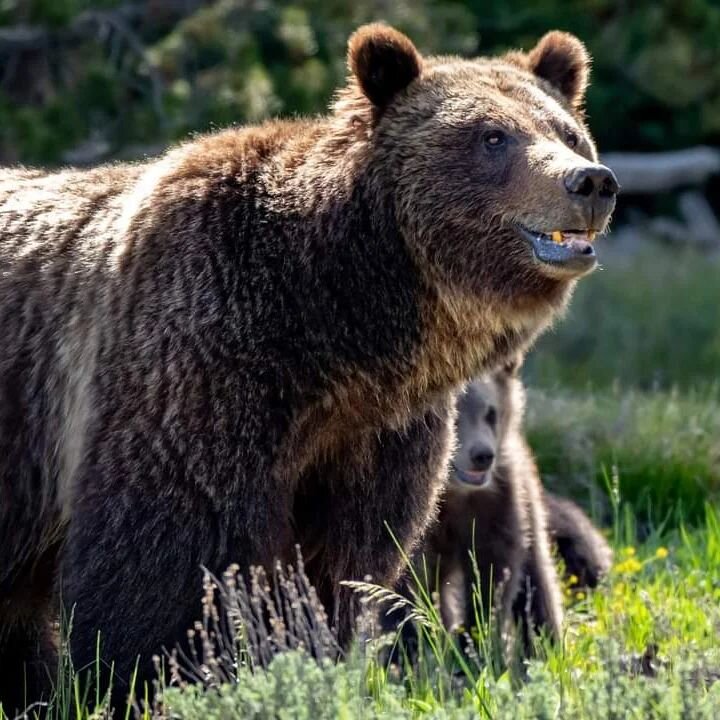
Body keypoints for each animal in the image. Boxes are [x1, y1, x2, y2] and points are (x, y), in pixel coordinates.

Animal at [414, 366, 612, 652]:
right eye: (453, 415)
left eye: (490, 412)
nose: (482, 455)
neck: (452, 494)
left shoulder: (497, 508)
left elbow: (492, 580)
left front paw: (475, 641)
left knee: (538, 584)